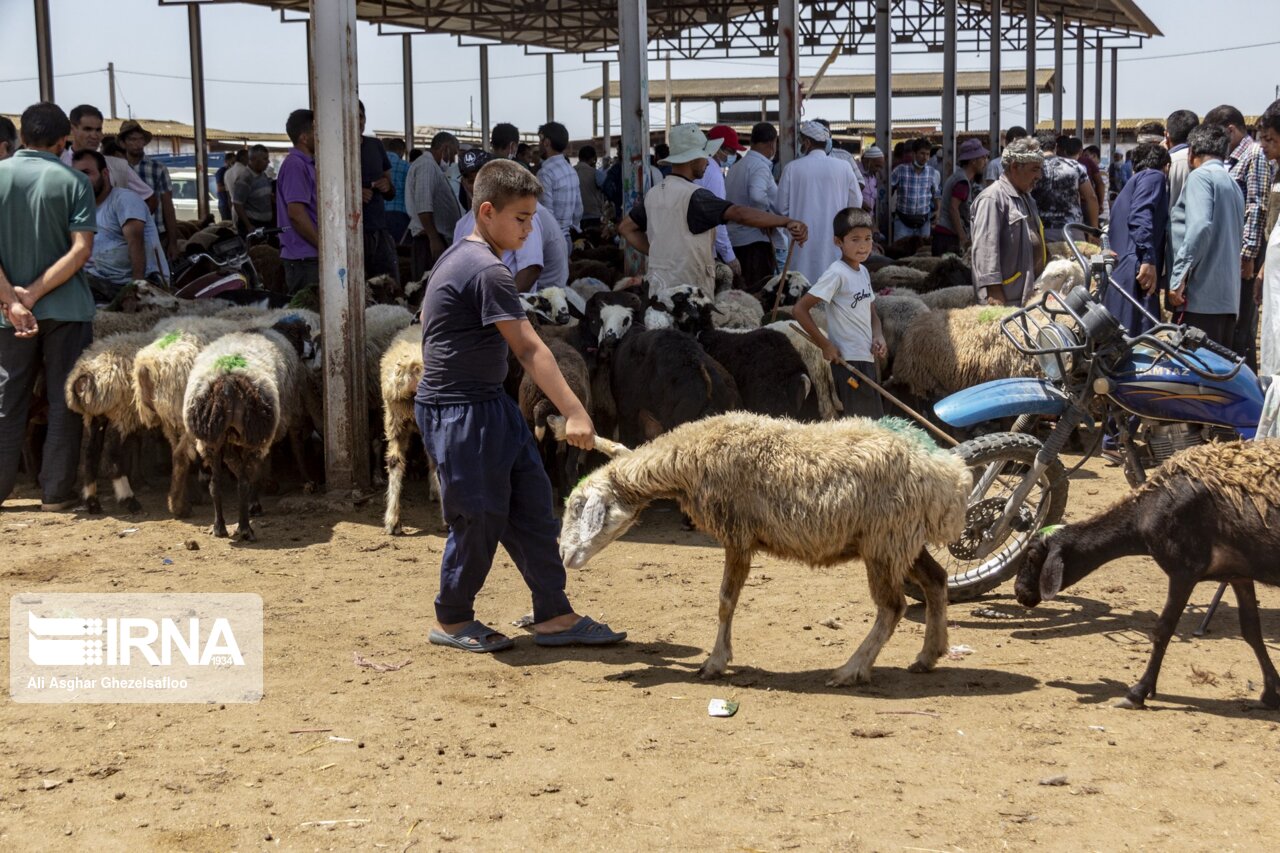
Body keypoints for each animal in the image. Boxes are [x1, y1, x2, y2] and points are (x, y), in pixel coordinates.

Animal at [558, 409, 967, 686]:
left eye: (578, 506)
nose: (563, 556)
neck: (690, 459)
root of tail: (951, 475)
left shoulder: (737, 535)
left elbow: (725, 601)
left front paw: (715, 662)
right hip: (902, 540)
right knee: (936, 580)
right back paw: (928, 655)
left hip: (885, 540)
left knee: (892, 607)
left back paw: (851, 669)